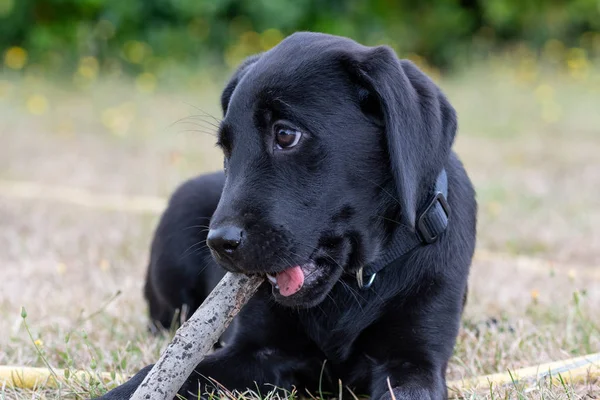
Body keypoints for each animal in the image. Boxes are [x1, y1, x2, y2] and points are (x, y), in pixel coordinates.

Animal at [97, 32, 478, 400]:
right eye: (226, 147)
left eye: (285, 134)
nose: (219, 243)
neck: (354, 283)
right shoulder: (257, 351)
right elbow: (162, 373)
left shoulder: (414, 362)